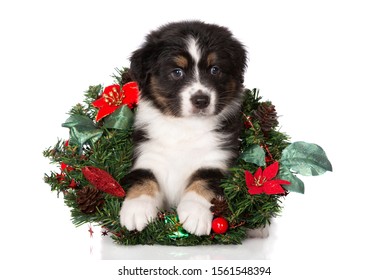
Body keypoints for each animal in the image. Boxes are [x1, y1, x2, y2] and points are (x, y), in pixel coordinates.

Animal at [119, 20, 246, 236]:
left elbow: (204, 179)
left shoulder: (218, 159)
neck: (186, 126)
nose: (201, 100)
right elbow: (144, 177)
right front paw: (136, 209)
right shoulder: (148, 153)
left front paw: (195, 213)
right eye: (177, 72)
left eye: (214, 69)